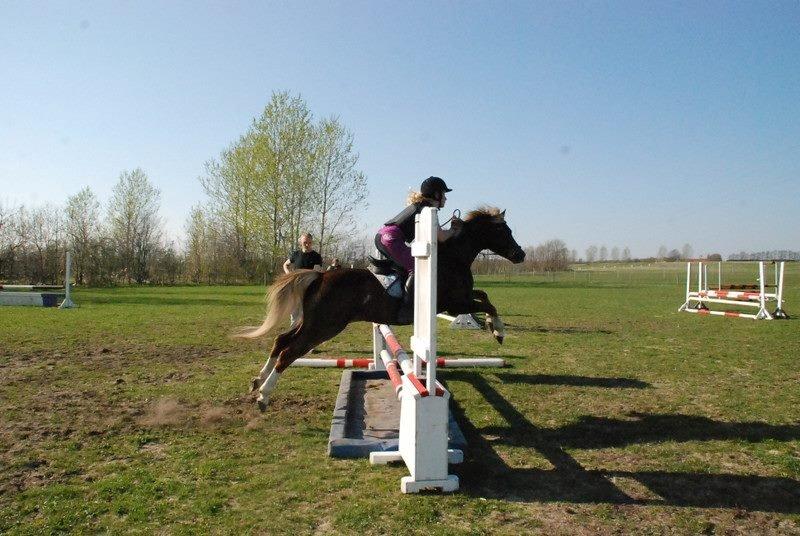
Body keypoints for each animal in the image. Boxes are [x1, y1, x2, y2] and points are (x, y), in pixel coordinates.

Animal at [238, 207, 524, 408]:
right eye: (504, 231)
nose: (520, 254)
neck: (451, 259)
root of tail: (320, 276)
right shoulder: (453, 304)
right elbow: (488, 304)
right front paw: (498, 331)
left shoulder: (458, 301)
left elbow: (484, 296)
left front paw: (495, 329)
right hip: (324, 326)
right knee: (289, 351)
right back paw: (264, 395)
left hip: (309, 322)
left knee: (280, 341)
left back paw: (257, 381)